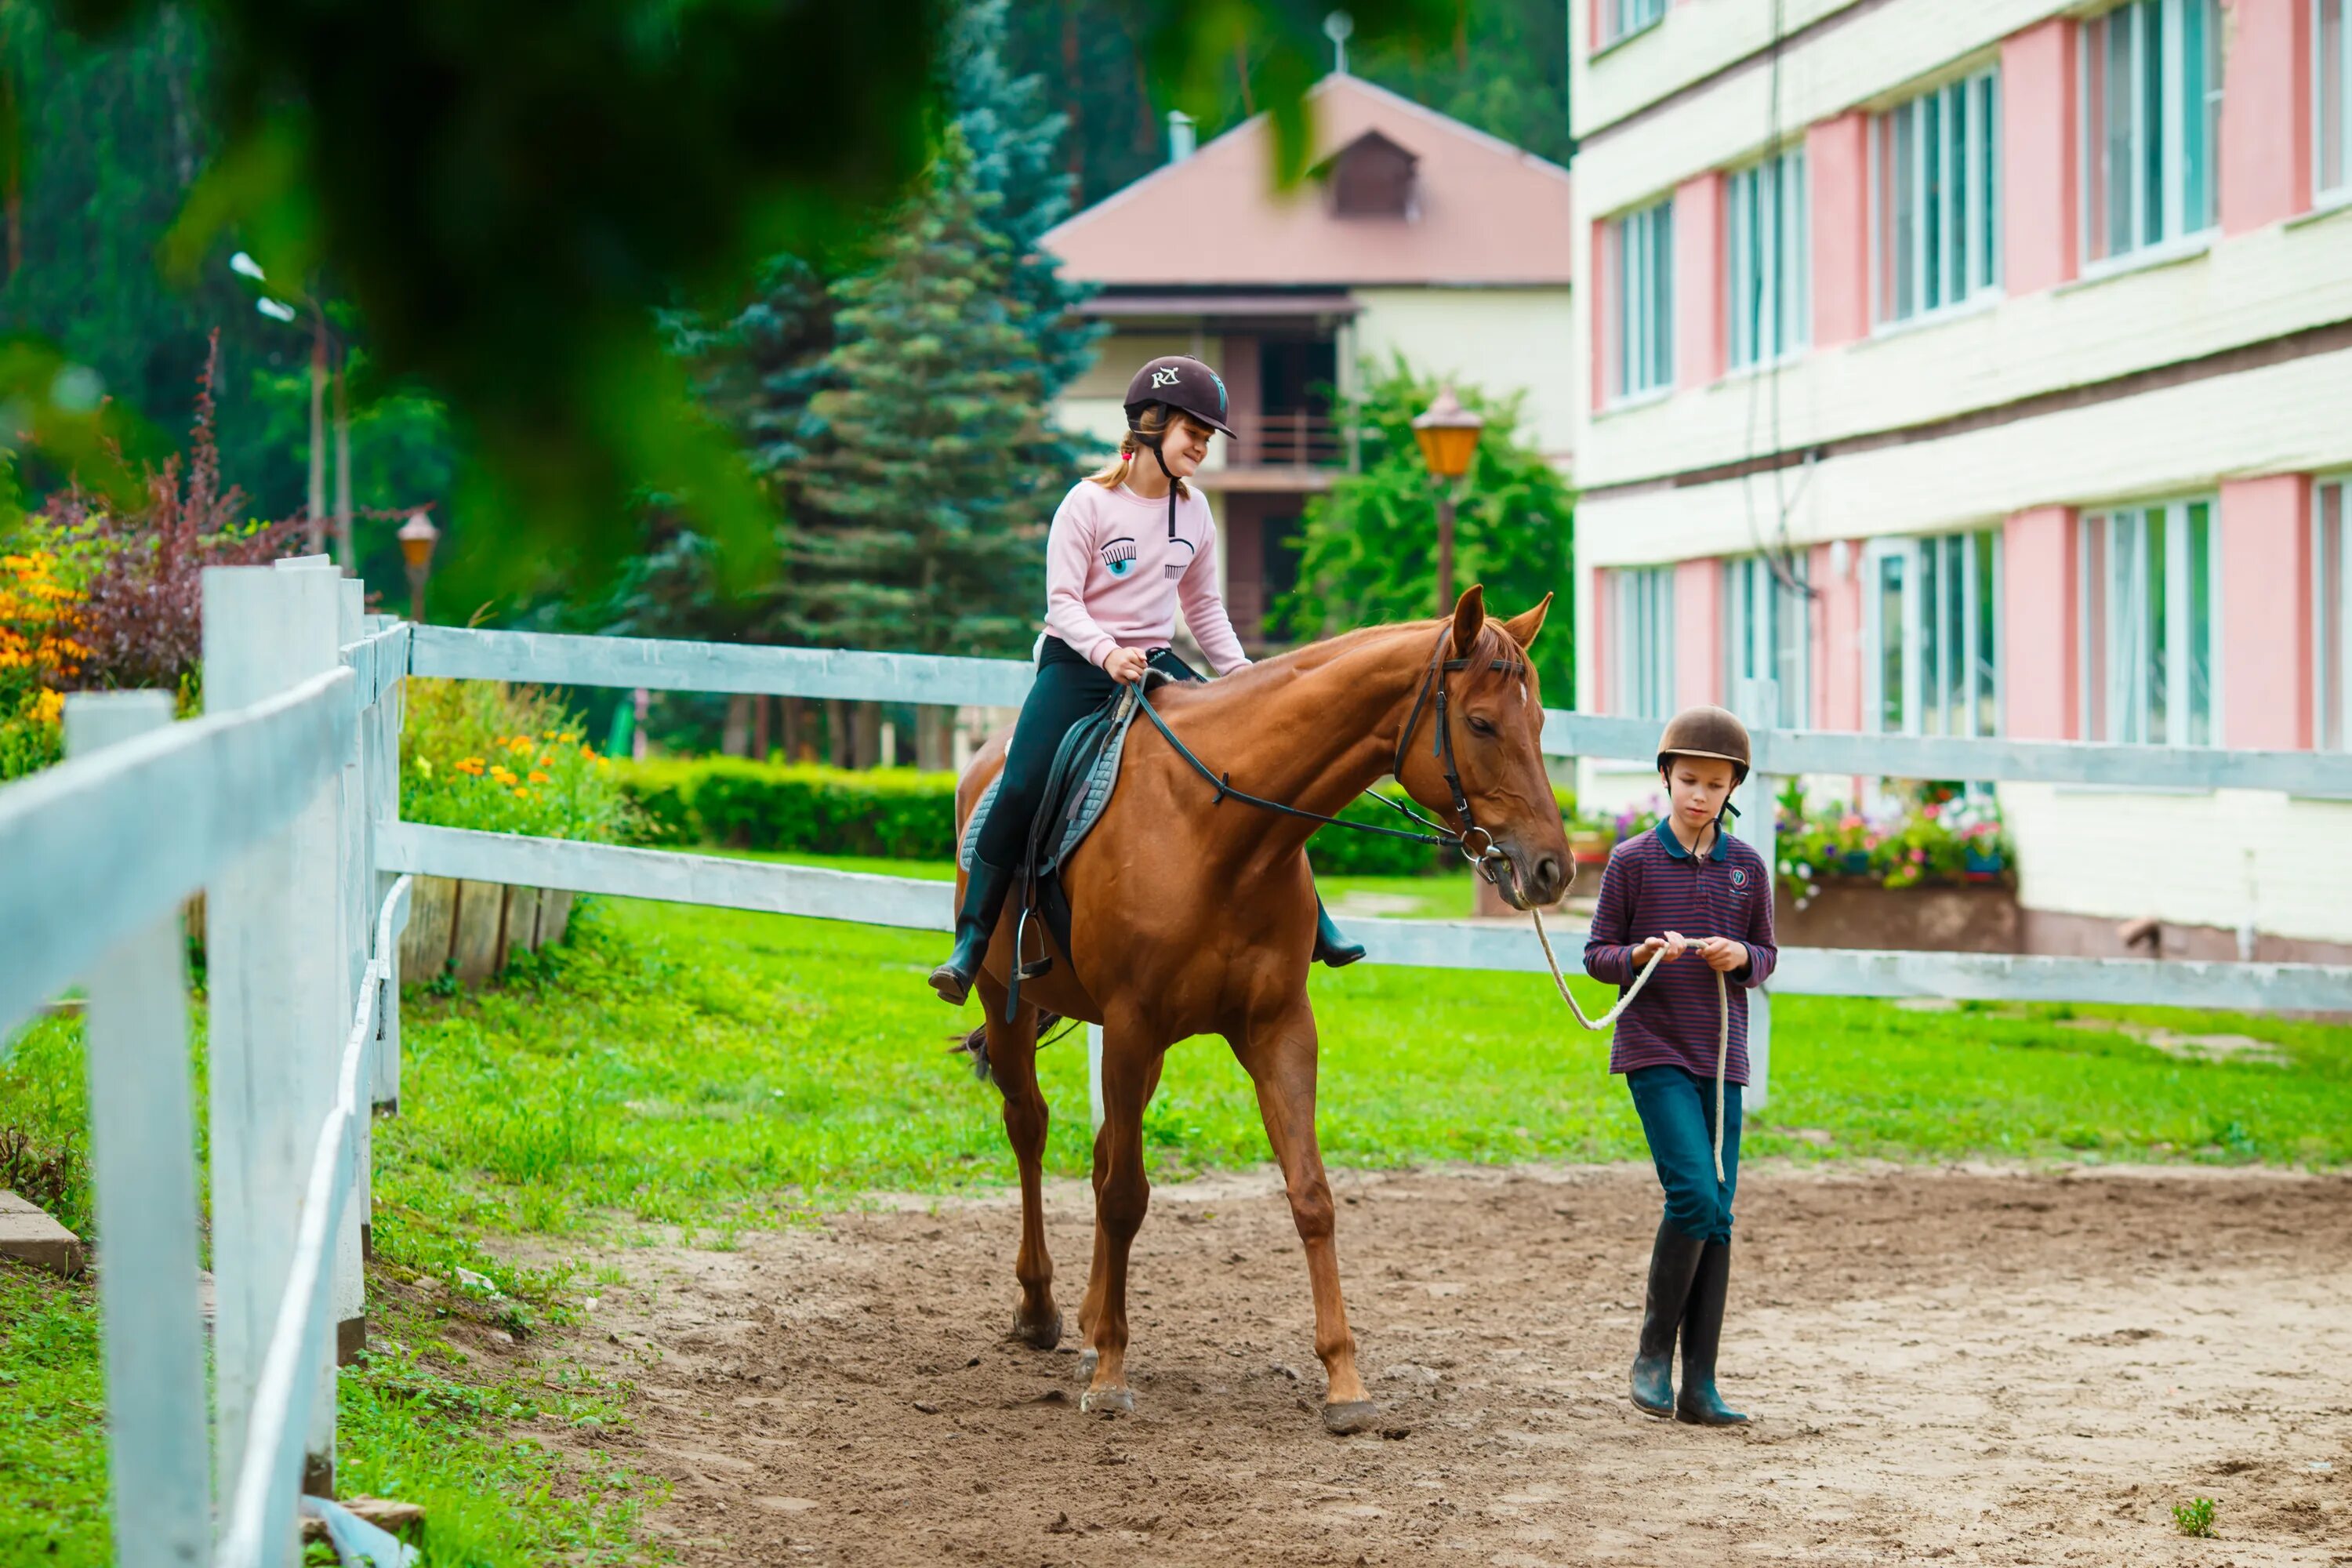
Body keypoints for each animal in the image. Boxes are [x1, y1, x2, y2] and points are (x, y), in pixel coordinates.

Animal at [946, 587, 1571, 1439]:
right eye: (1480, 723)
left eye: (1538, 724)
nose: (1553, 870)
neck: (1219, 828)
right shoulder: (1133, 1023)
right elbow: (1125, 1195)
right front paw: (1111, 1374)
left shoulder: (1277, 1029)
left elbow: (1310, 1193)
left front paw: (1344, 1381)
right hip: (1010, 1007)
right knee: (1031, 1128)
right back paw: (1042, 1309)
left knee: (1104, 1148)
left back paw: (1087, 1321)